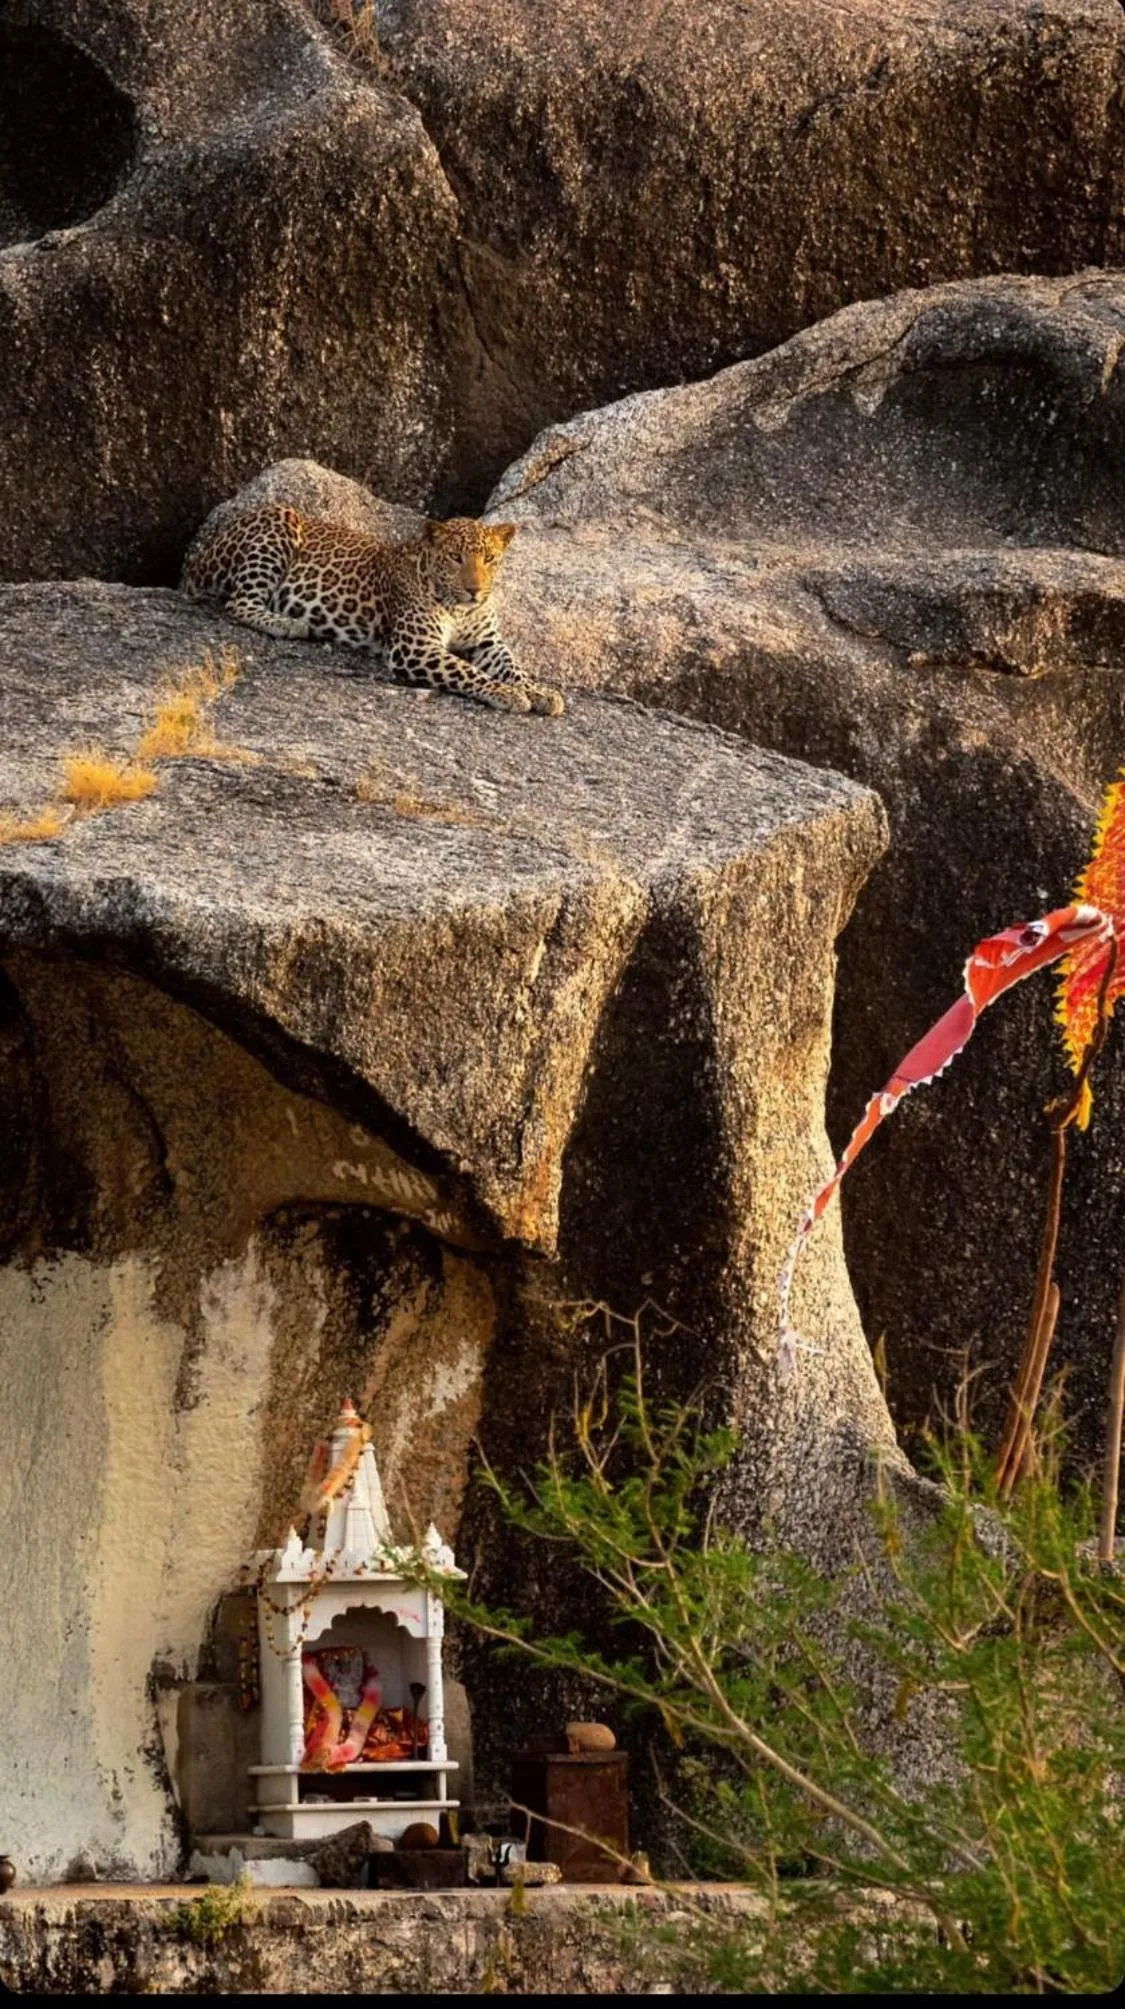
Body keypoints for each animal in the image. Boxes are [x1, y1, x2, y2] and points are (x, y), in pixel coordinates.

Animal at [179, 503, 565, 716]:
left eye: (489, 558)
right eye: (456, 558)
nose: (475, 590)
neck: (460, 609)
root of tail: (203, 550)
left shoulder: (487, 642)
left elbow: (513, 667)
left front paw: (541, 692)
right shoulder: (415, 648)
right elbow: (466, 671)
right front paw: (506, 694)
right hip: (279, 519)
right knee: (238, 602)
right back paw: (288, 623)